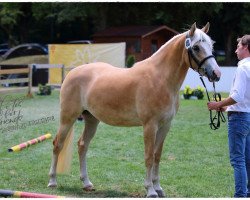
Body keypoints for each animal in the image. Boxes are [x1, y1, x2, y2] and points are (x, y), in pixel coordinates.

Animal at [47, 22, 220, 198]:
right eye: (196, 47)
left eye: (211, 45)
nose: (216, 73)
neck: (160, 79)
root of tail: (72, 72)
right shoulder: (150, 125)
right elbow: (149, 156)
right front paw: (150, 190)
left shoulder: (165, 126)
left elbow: (157, 156)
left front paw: (158, 188)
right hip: (68, 118)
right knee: (57, 144)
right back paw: (53, 181)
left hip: (91, 120)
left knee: (82, 146)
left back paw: (87, 183)